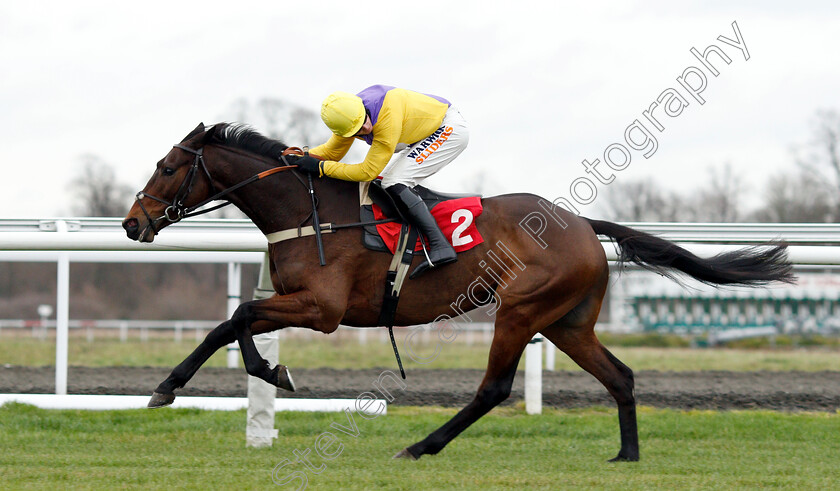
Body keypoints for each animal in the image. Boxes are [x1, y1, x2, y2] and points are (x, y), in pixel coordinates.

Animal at [121, 122, 792, 462]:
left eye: (166, 167)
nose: (132, 223)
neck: (311, 213)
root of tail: (581, 223)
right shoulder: (302, 305)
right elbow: (230, 322)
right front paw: (176, 386)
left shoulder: (323, 309)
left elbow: (237, 317)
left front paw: (264, 374)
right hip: (567, 321)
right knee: (620, 376)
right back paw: (626, 457)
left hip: (521, 309)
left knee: (494, 388)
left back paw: (422, 446)